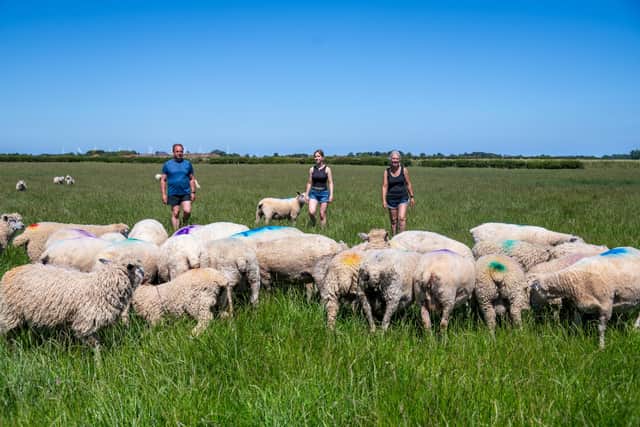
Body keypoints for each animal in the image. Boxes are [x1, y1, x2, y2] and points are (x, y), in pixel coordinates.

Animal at [0, 258, 144, 347]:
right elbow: (96, 345)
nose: (144, 273)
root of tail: (9, 273)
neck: (102, 286)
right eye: (137, 267)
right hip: (10, 313)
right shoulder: (86, 323)